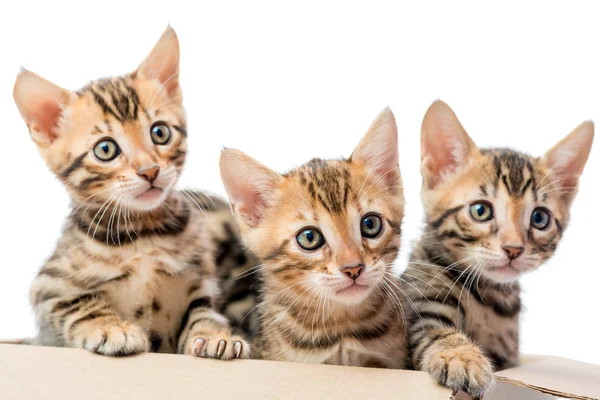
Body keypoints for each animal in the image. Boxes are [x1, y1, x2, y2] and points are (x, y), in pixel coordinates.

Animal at [12, 28, 254, 360]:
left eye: (160, 132)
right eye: (105, 149)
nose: (149, 171)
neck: (144, 233)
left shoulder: (201, 284)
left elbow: (203, 313)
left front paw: (215, 336)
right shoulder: (49, 288)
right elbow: (82, 305)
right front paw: (113, 328)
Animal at [404, 99, 596, 394]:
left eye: (539, 218)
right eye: (480, 211)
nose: (513, 249)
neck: (490, 296)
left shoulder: (508, 354)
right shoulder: (421, 304)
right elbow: (436, 331)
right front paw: (462, 356)